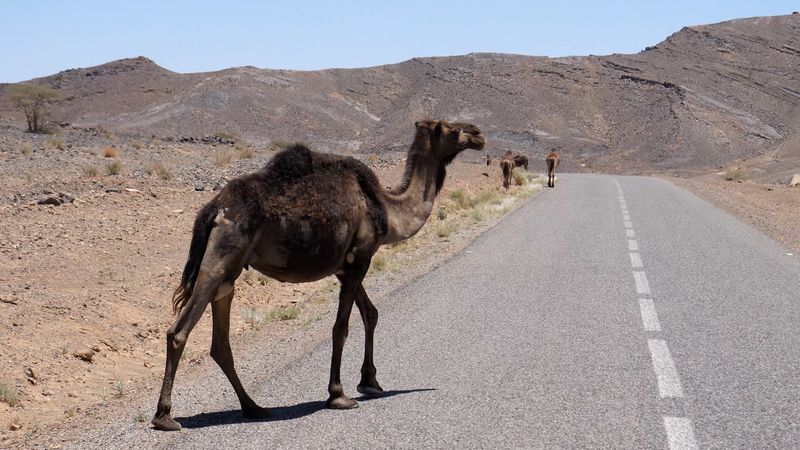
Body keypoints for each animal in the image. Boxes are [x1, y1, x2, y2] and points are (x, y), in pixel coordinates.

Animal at [152, 120, 484, 432]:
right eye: (451, 129)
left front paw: (370, 382)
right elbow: (341, 328)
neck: (386, 209)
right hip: (221, 255)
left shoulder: (345, 266)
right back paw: (165, 416)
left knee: (220, 340)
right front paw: (338, 395)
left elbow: (371, 313)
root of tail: (214, 207)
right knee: (179, 331)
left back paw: (254, 407)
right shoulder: (361, 257)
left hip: (228, 273)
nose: (478, 134)